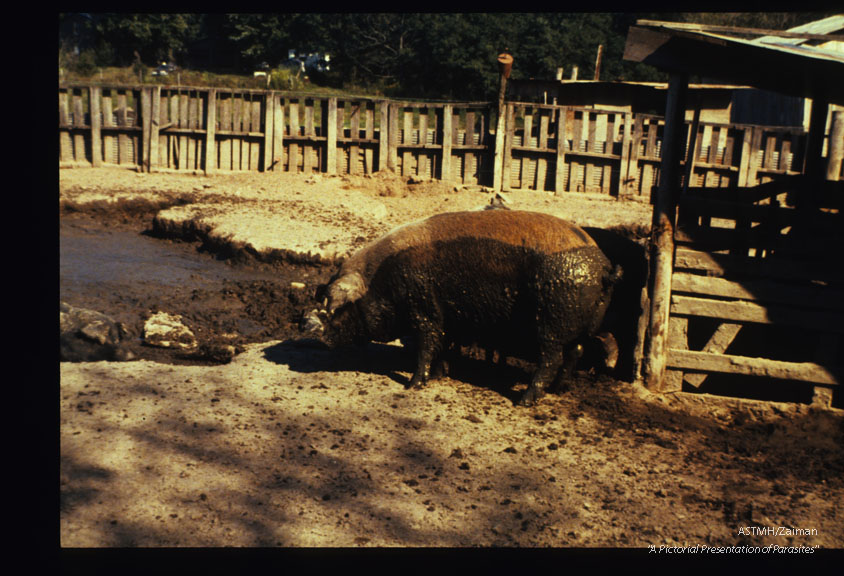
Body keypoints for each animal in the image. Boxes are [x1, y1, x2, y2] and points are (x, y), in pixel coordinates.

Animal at [304, 210, 620, 404]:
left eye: (333, 309)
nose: (309, 327)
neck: (380, 279)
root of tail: (605, 268)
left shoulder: (423, 310)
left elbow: (426, 347)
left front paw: (412, 385)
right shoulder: (446, 317)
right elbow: (441, 346)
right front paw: (441, 375)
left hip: (551, 320)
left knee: (551, 359)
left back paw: (524, 401)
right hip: (578, 324)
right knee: (576, 352)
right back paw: (559, 390)